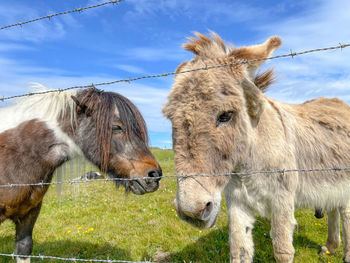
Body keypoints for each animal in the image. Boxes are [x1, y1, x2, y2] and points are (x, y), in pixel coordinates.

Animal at [163, 33, 350, 263]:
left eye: (226, 115)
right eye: (171, 118)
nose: (191, 211)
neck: (248, 167)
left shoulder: (282, 202)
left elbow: (282, 250)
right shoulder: (236, 203)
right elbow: (238, 248)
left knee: (345, 212)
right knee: (334, 206)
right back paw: (330, 247)